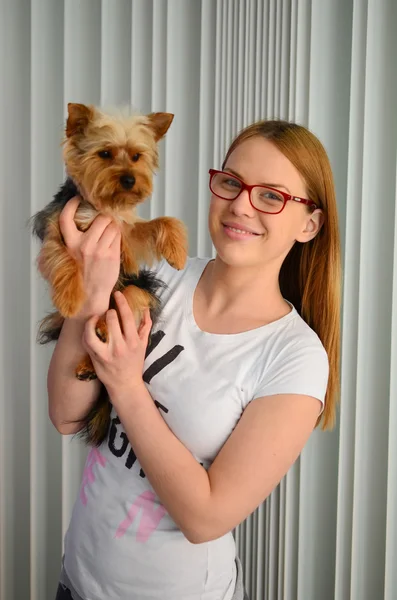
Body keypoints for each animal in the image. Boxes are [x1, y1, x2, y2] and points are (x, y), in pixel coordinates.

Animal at [31, 103, 186, 448]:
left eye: (137, 157)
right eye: (104, 154)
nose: (129, 179)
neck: (103, 207)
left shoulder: (124, 235)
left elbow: (160, 222)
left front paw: (177, 250)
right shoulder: (57, 230)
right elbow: (63, 258)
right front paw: (71, 297)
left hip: (137, 291)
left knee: (123, 301)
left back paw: (99, 337)